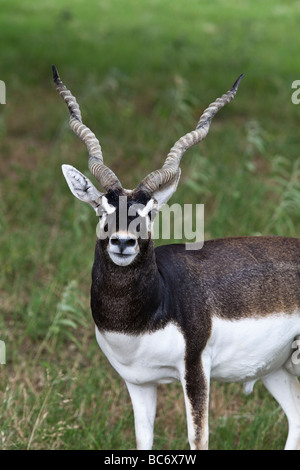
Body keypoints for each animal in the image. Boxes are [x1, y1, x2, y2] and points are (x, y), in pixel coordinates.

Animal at [53, 64, 300, 450]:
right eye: (101, 209)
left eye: (150, 212)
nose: (122, 243)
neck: (147, 312)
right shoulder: (138, 382)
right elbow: (143, 439)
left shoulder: (195, 370)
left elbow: (198, 440)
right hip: (276, 368)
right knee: (296, 419)